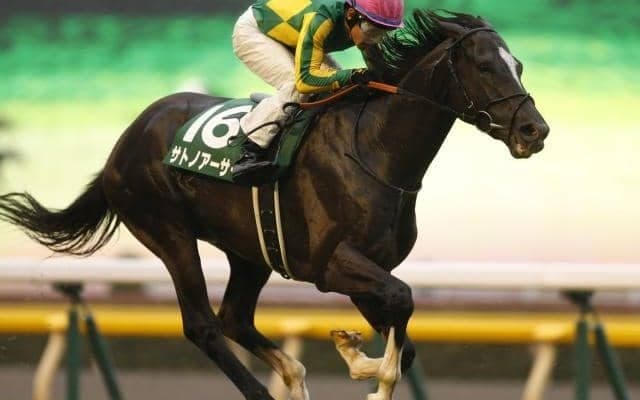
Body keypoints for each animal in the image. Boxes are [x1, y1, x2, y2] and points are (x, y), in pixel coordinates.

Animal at [0, 10, 548, 400]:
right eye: (485, 66)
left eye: (519, 66)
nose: (534, 130)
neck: (375, 149)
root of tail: (126, 138)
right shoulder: (332, 265)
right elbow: (404, 301)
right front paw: (364, 366)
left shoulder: (368, 269)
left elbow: (405, 333)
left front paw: (354, 354)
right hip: (167, 231)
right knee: (203, 325)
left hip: (249, 249)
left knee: (234, 318)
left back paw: (294, 374)